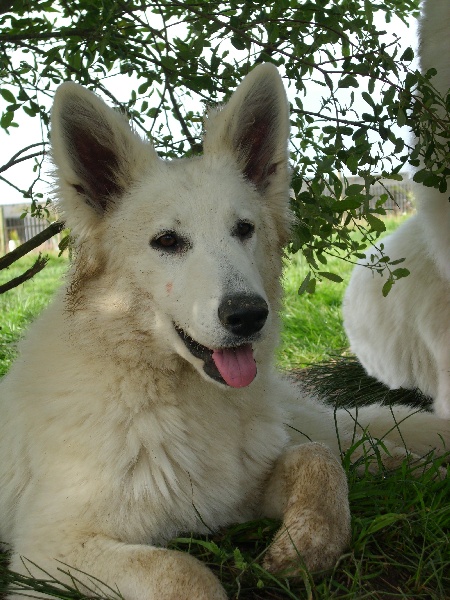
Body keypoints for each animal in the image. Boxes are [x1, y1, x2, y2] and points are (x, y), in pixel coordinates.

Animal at [0, 59, 448, 596]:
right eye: (167, 241)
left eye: (244, 230)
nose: (249, 315)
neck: (173, 395)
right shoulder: (49, 554)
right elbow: (183, 569)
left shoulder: (246, 489)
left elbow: (318, 462)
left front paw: (303, 547)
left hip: (305, 421)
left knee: (350, 441)